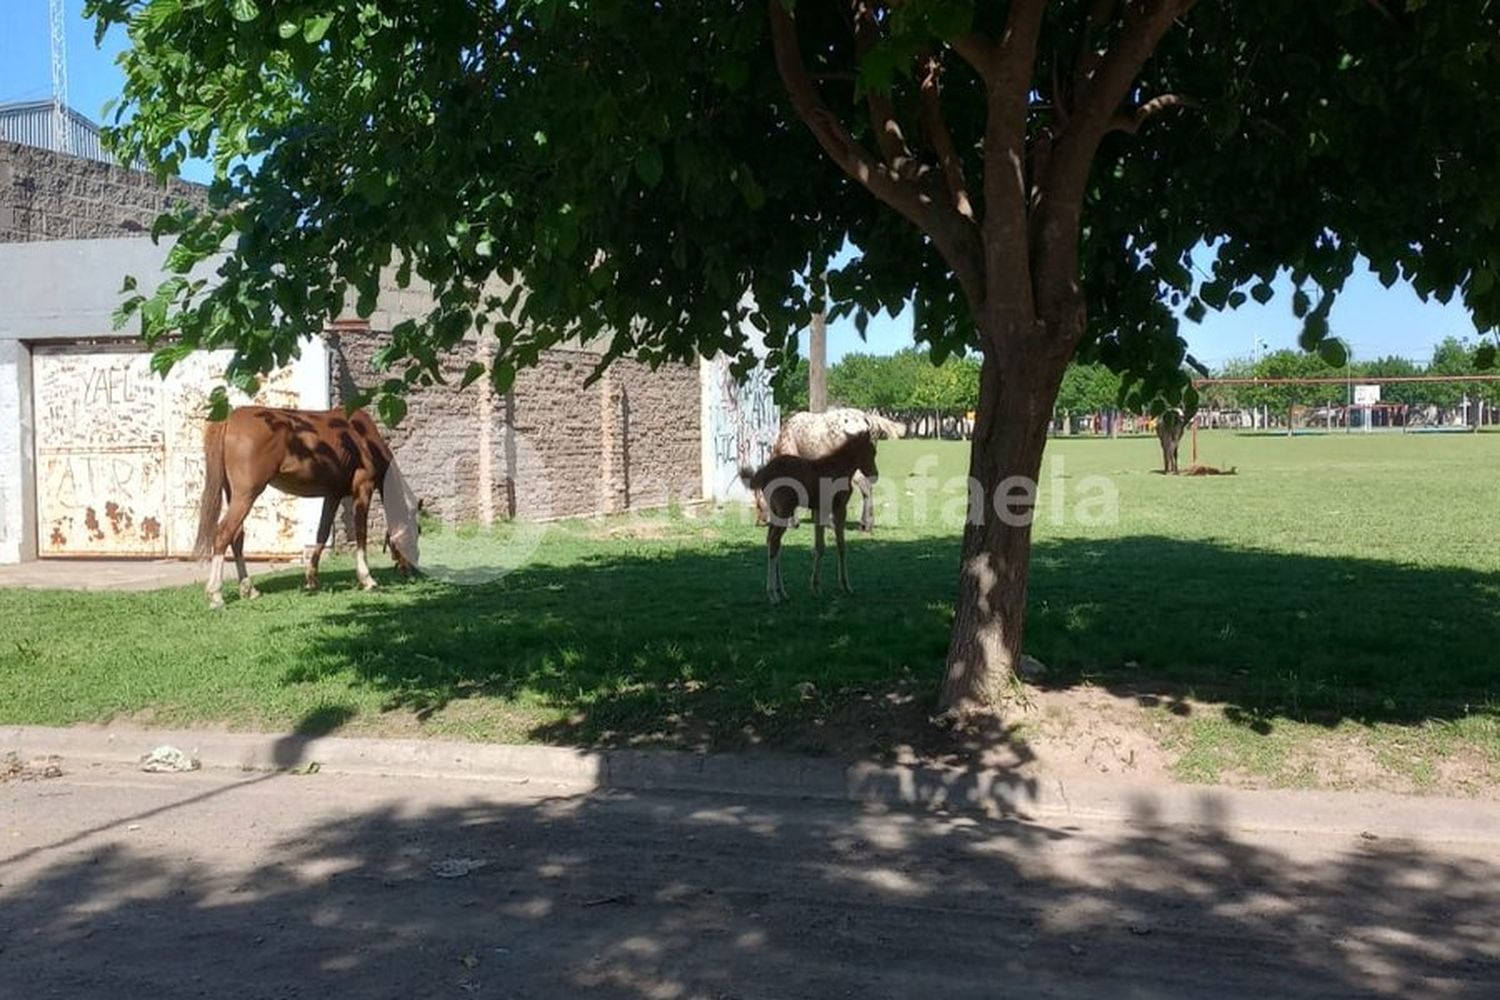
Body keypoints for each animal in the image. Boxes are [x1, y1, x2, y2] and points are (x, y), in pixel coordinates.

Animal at [192, 407, 423, 611]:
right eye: (416, 531)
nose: (412, 570)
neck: (363, 437)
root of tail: (230, 418)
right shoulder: (362, 490)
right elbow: (361, 534)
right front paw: (367, 579)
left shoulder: (333, 495)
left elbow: (322, 533)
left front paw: (312, 579)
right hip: (246, 494)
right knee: (223, 534)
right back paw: (216, 594)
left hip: (234, 494)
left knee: (237, 537)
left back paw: (249, 589)